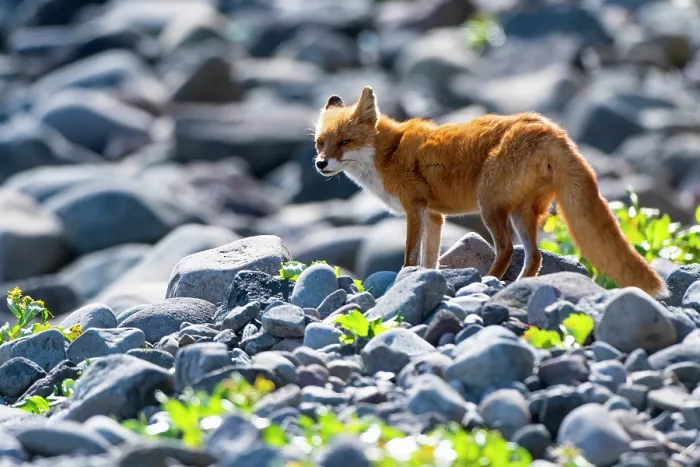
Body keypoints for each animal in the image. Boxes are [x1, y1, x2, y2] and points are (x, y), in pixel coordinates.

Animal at [313, 86, 668, 297]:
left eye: (345, 142)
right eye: (320, 142)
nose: (320, 164)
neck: (388, 152)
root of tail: (549, 127)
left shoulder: (415, 207)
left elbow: (410, 257)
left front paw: (405, 280)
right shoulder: (435, 216)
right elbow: (430, 260)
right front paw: (423, 283)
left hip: (491, 206)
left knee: (508, 249)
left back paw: (490, 282)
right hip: (523, 214)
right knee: (535, 256)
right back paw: (520, 286)